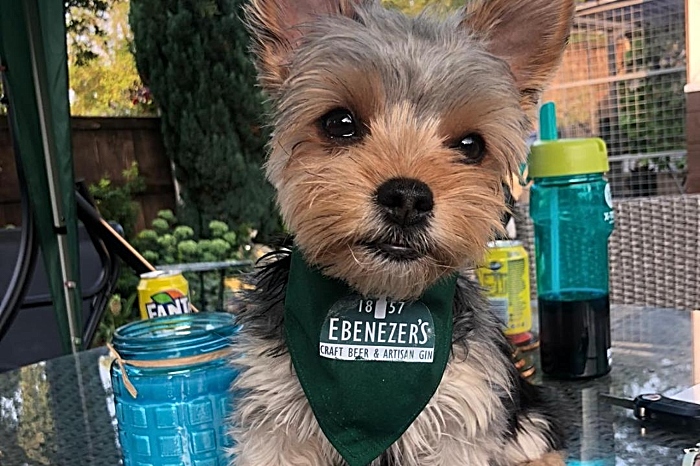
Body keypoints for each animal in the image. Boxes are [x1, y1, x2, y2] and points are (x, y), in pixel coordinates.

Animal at [232, 0, 572, 466]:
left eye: (471, 145)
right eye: (339, 122)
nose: (408, 198)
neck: (380, 300)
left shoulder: (459, 418)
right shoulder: (275, 420)